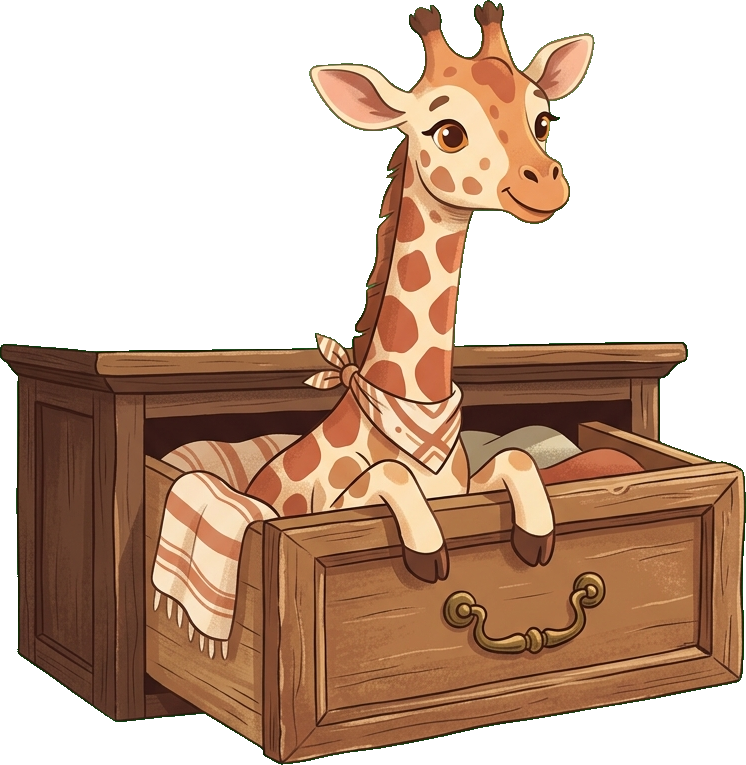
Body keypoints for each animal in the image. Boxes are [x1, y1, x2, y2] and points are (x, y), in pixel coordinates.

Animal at [241, 2, 593, 583]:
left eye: (543, 121)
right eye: (448, 132)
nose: (545, 184)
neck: (417, 418)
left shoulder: (466, 487)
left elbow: (517, 457)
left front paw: (535, 534)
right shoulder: (339, 502)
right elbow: (388, 474)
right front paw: (427, 549)